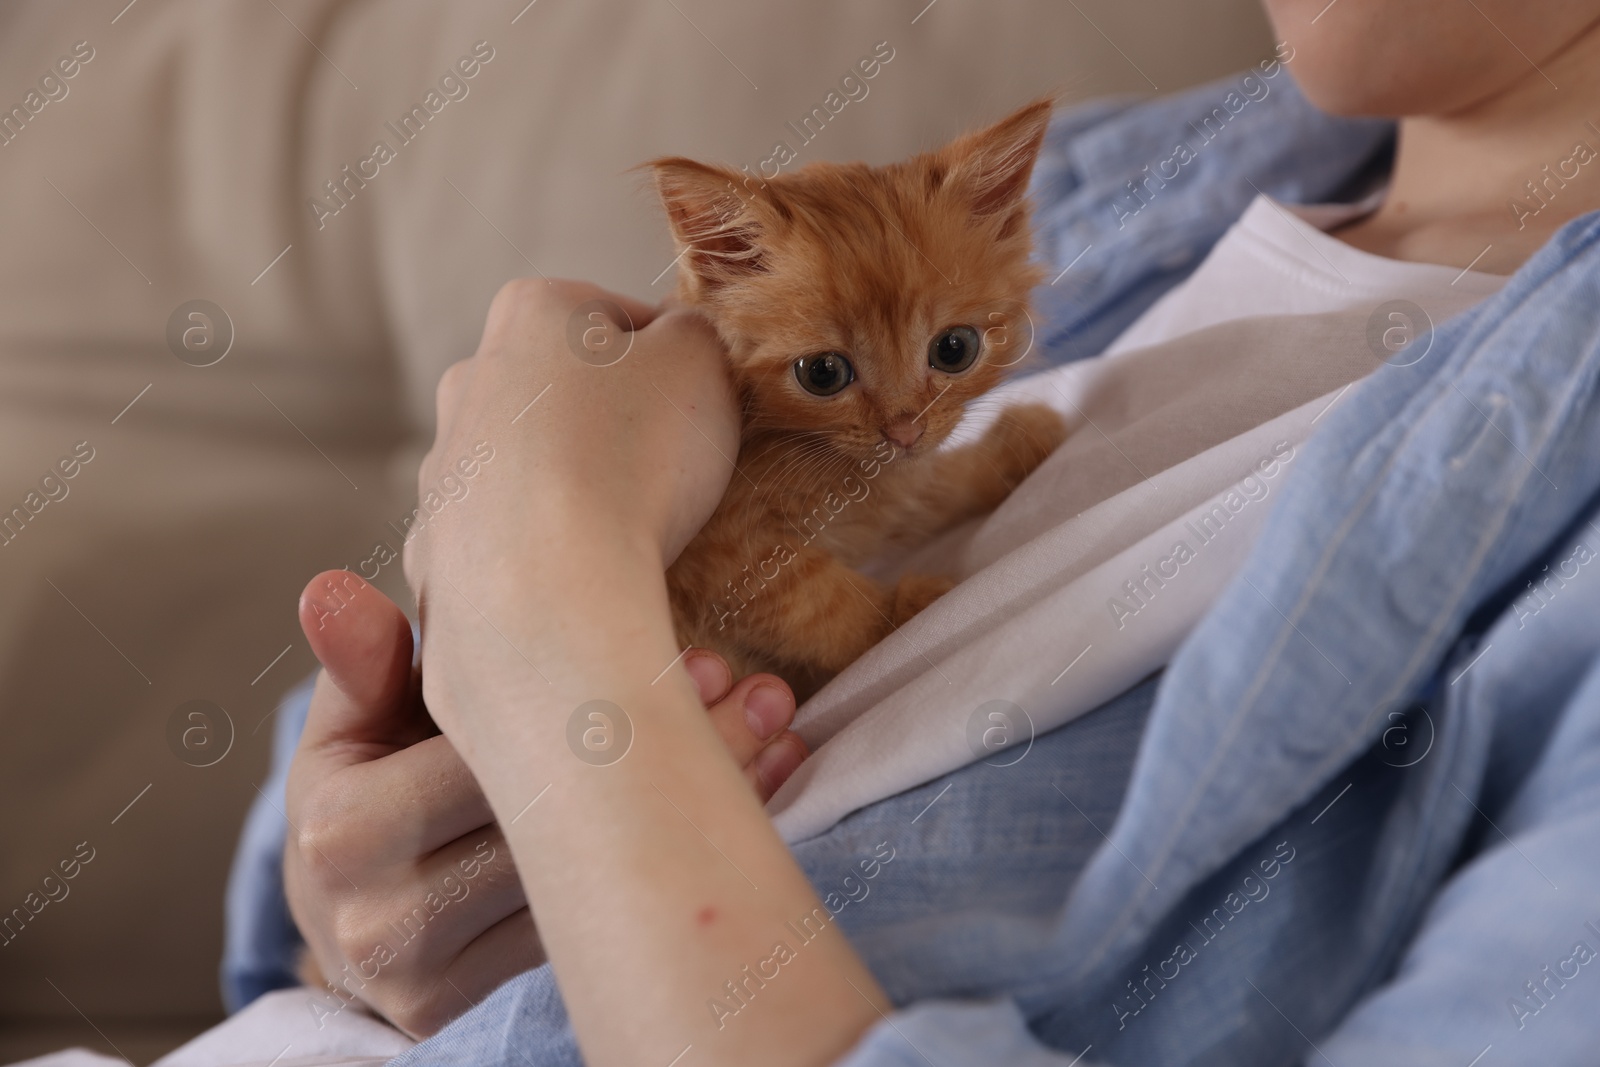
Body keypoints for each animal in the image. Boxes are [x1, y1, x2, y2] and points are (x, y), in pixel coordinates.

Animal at [649, 97, 1075, 684]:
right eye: (822, 373)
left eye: (955, 349)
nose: (904, 429)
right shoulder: (718, 551)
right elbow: (821, 603)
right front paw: (913, 608)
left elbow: (929, 490)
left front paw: (1009, 450)